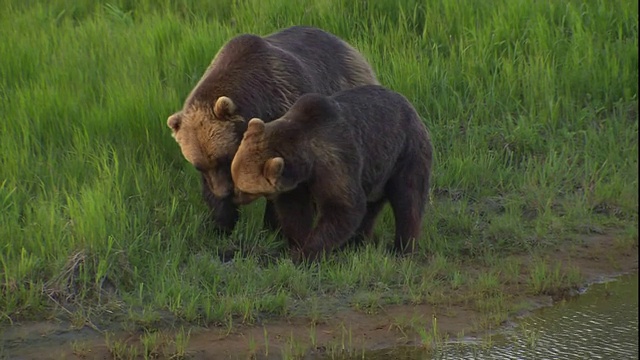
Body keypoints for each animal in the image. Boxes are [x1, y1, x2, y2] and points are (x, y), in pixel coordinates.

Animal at [168, 25, 382, 233]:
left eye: (225, 158)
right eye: (199, 165)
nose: (224, 193)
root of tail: (348, 46)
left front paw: (273, 227)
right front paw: (221, 223)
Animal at [230, 85, 436, 260]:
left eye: (246, 188)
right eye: (234, 175)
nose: (235, 196)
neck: (304, 163)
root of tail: (411, 107)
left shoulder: (333, 163)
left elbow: (344, 207)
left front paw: (307, 253)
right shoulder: (296, 184)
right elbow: (295, 210)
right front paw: (297, 243)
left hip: (407, 153)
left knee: (408, 199)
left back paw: (403, 248)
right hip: (376, 172)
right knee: (371, 207)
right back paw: (356, 242)